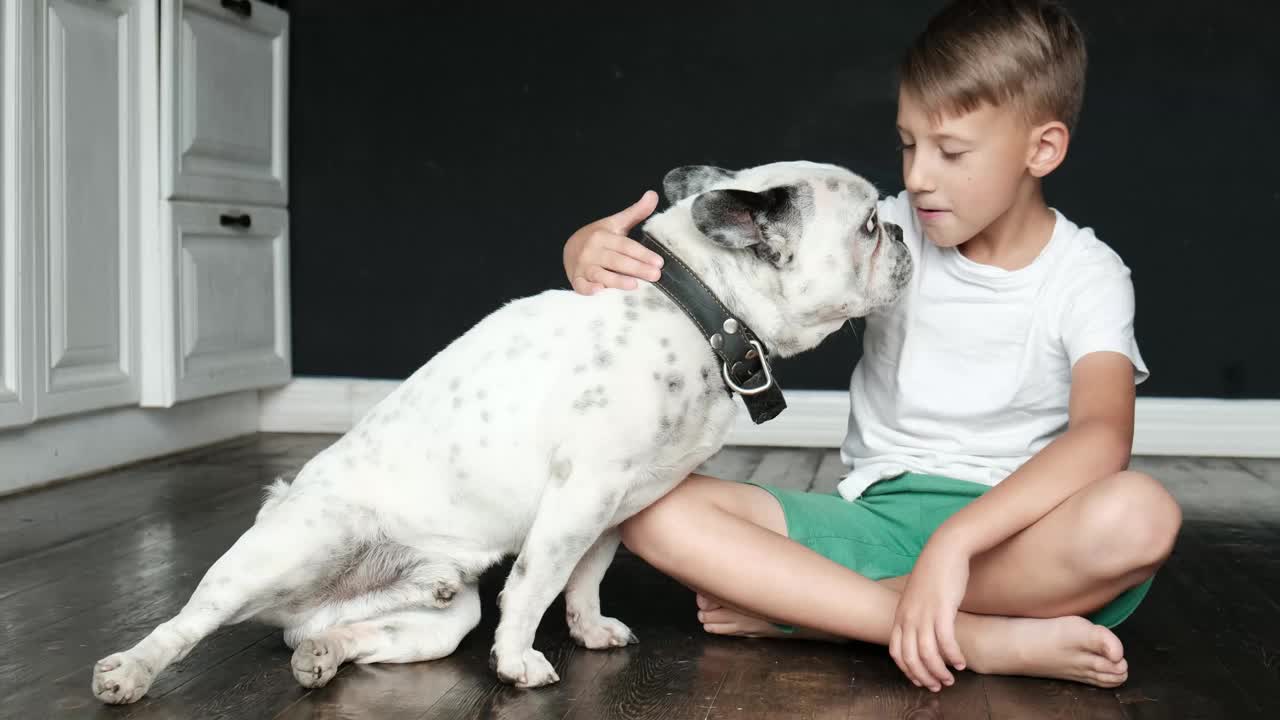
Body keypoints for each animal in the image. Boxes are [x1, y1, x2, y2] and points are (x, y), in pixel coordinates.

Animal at [92, 161, 911, 702]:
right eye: (870, 226)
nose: (904, 231)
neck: (697, 307)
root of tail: (305, 604)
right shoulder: (581, 496)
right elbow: (538, 583)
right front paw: (518, 663)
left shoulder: (617, 507)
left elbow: (585, 577)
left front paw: (589, 629)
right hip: (290, 547)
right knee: (189, 620)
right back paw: (132, 669)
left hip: (441, 617)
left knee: (355, 638)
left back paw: (323, 652)